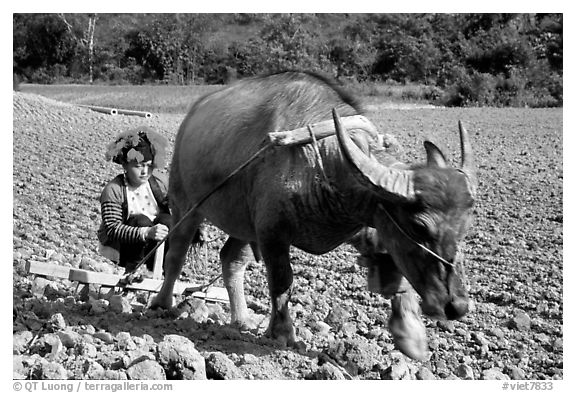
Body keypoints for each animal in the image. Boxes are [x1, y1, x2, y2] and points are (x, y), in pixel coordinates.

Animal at [151, 70, 474, 358]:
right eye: (420, 227)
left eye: (462, 230)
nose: (457, 306)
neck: (324, 162)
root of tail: (191, 118)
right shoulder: (272, 234)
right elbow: (282, 282)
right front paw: (283, 333)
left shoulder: (367, 227)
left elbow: (398, 277)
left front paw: (410, 336)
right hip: (185, 204)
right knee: (176, 252)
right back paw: (161, 303)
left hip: (243, 223)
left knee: (231, 260)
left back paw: (241, 318)